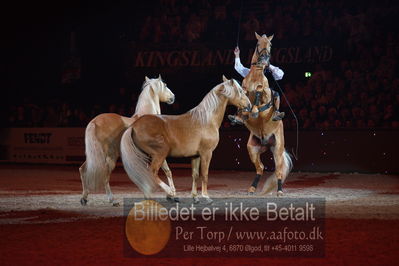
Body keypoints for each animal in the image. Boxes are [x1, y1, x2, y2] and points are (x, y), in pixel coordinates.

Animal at [79, 75, 177, 206]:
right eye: (165, 85)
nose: (173, 97)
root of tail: (94, 122)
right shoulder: (157, 153)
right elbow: (166, 171)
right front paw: (171, 194)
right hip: (109, 157)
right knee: (104, 176)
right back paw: (113, 200)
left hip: (95, 156)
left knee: (83, 169)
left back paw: (84, 198)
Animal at [120, 76, 252, 204]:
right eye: (240, 91)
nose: (249, 105)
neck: (206, 120)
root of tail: (134, 125)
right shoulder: (206, 153)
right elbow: (205, 174)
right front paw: (206, 196)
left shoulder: (195, 156)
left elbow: (195, 175)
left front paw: (195, 197)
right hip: (159, 153)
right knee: (152, 172)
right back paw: (170, 192)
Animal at [238, 32, 294, 195]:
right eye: (258, 44)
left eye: (270, 44)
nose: (264, 59)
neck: (255, 75)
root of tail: (266, 143)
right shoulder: (244, 89)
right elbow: (243, 94)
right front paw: (240, 116)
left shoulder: (266, 92)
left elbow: (260, 91)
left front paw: (255, 110)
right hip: (253, 148)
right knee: (260, 168)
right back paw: (252, 188)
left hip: (278, 148)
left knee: (279, 170)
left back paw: (279, 191)